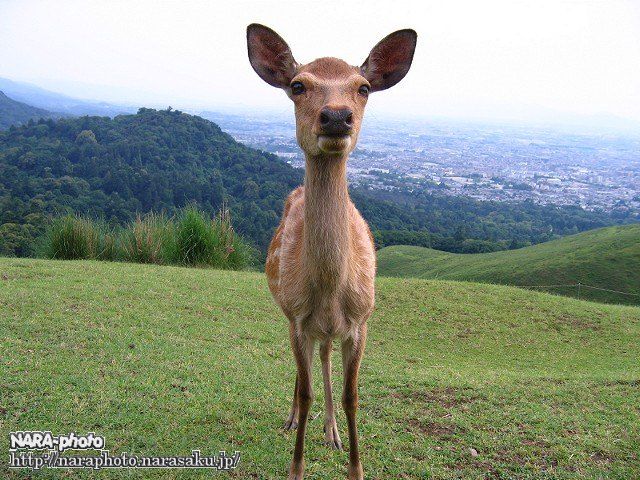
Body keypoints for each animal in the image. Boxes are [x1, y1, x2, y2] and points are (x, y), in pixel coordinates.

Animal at [248, 24, 418, 478]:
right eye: (297, 85)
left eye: (363, 88)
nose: (337, 116)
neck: (328, 287)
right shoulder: (298, 317)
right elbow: (306, 390)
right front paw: (296, 467)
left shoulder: (361, 321)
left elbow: (351, 396)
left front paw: (356, 465)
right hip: (290, 315)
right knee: (304, 367)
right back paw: (293, 420)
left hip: (330, 330)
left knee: (324, 358)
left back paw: (332, 432)